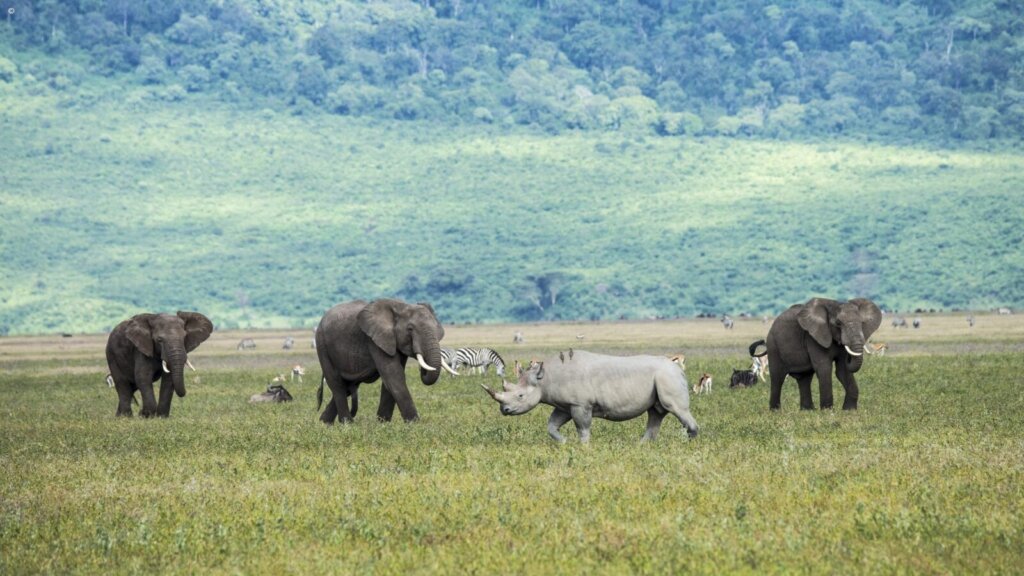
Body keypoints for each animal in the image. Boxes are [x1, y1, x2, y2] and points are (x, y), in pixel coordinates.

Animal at [315, 299, 454, 424]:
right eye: (410, 329)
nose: (422, 369)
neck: (401, 306)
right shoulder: (374, 340)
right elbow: (393, 376)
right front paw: (414, 424)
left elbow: (391, 379)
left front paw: (383, 423)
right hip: (322, 345)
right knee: (337, 384)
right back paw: (346, 423)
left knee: (348, 386)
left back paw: (325, 422)